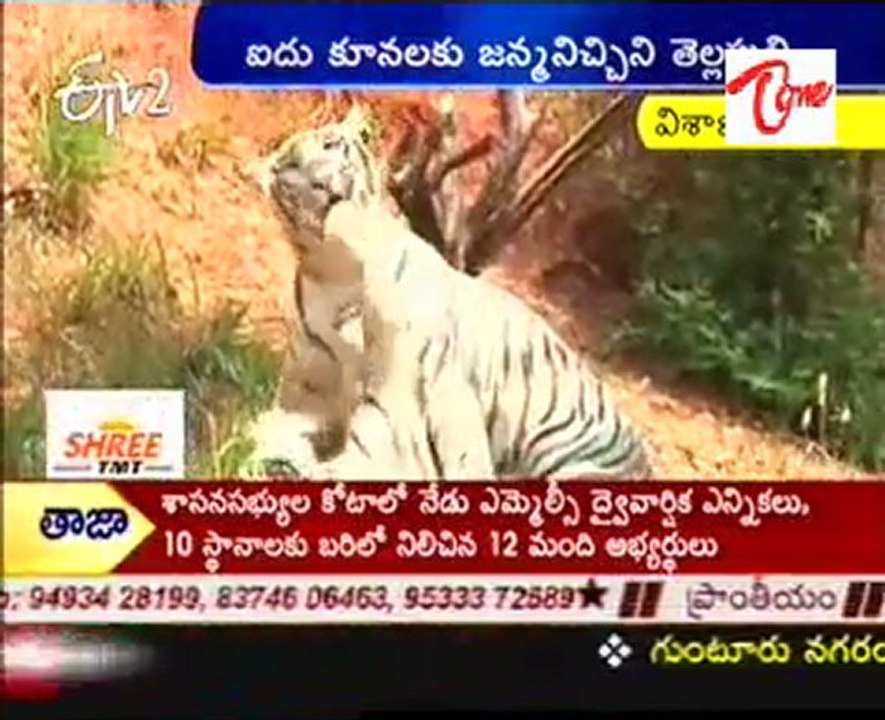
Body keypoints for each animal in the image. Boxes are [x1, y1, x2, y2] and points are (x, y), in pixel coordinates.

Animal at [256, 104, 652, 480]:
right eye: (292, 167)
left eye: (331, 145)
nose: (324, 185)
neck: (340, 272)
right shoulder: (308, 393)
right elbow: (278, 434)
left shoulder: (420, 406)